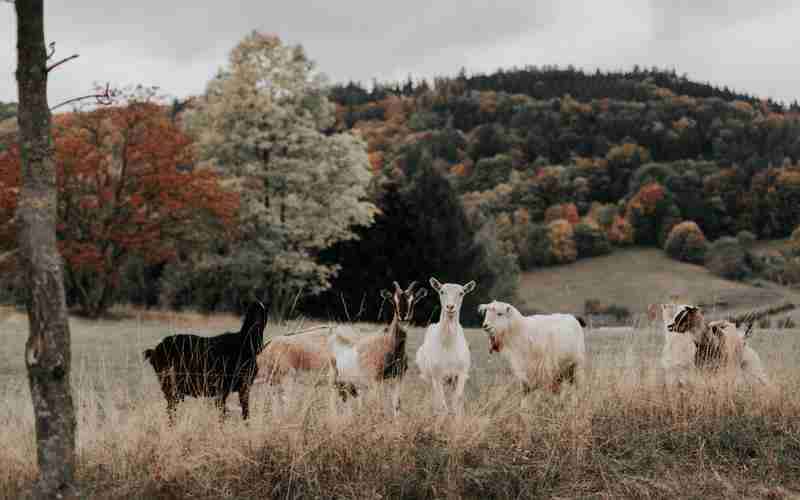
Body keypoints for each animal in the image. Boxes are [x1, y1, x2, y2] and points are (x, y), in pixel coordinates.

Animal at [328, 282, 428, 414]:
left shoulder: (398, 377)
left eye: (413, 300)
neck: (389, 346)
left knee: (347, 400)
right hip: (335, 380)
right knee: (333, 402)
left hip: (351, 385)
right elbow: (379, 405)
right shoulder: (375, 379)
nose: (403, 317)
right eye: (393, 300)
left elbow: (397, 404)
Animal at [412, 278, 476, 414]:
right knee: (434, 397)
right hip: (428, 376)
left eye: (461, 293)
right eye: (441, 291)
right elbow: (442, 403)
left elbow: (457, 400)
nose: (450, 307)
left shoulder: (461, 373)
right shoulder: (437, 374)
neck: (448, 346)